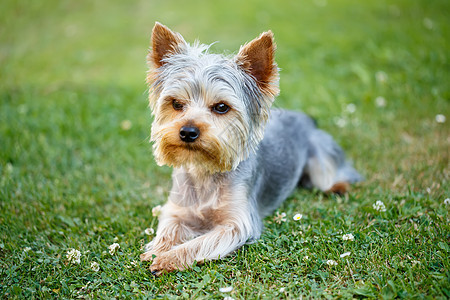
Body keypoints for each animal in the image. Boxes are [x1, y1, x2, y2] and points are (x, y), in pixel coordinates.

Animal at [141, 22, 362, 276]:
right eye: (176, 104)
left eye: (221, 107)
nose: (187, 132)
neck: (205, 170)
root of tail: (305, 118)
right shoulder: (177, 209)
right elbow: (168, 228)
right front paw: (157, 250)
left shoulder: (237, 224)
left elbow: (200, 243)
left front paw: (169, 258)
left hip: (320, 156)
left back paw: (338, 186)